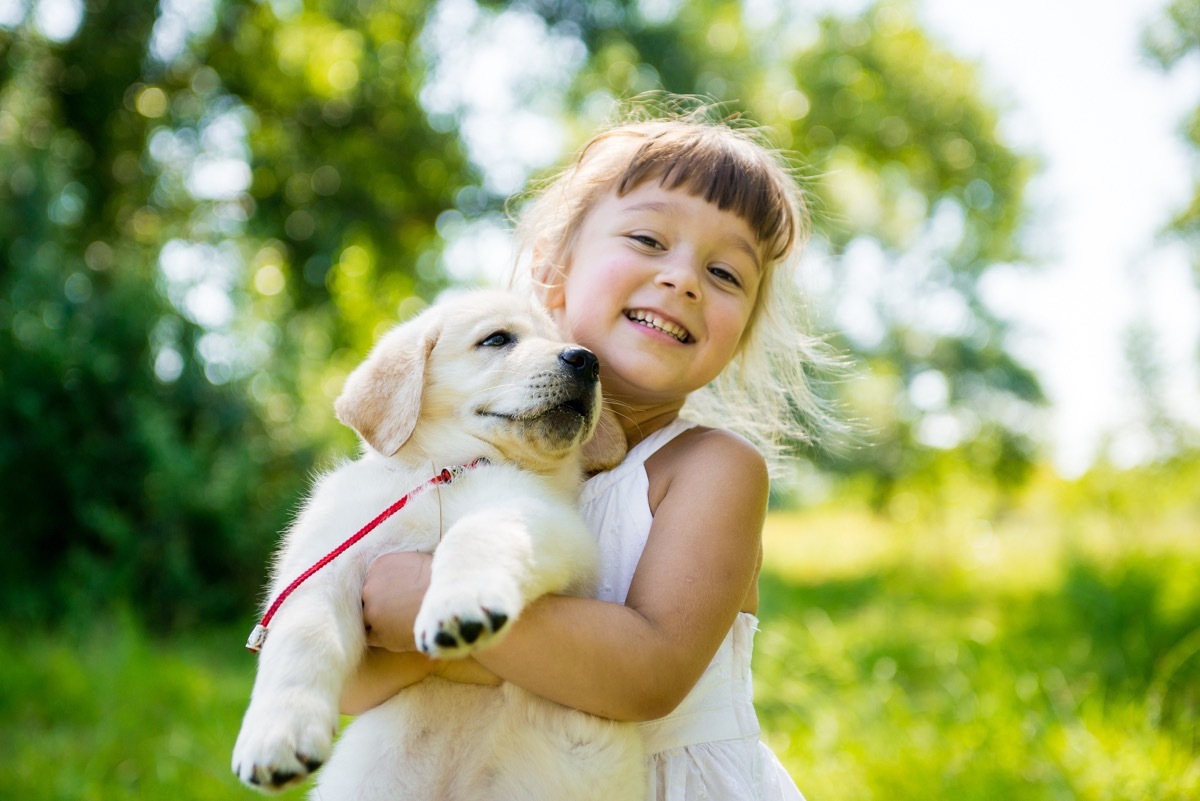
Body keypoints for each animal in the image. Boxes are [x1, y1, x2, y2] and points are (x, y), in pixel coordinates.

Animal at [236, 292, 648, 801]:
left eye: (575, 346)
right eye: (496, 339)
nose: (587, 361)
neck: (445, 468)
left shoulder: (544, 518)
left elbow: (474, 534)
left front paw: (460, 605)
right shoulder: (326, 561)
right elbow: (303, 637)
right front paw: (275, 737)